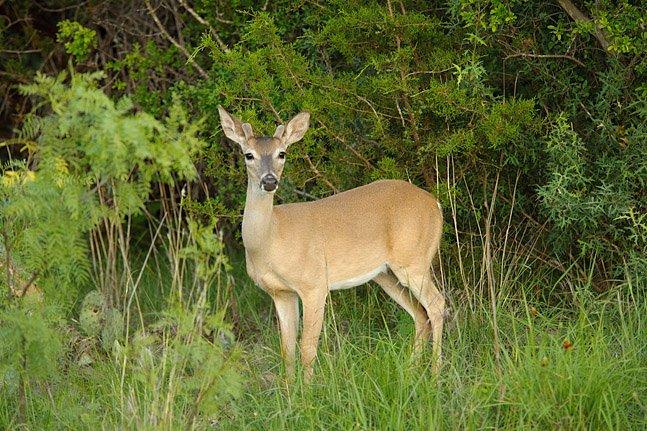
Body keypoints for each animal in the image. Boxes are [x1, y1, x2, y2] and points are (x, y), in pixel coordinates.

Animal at [219, 105, 446, 382]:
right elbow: (287, 351)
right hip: (384, 273)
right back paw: (411, 373)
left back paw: (435, 376)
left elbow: (307, 349)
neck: (271, 240)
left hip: (413, 259)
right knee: (420, 314)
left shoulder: (314, 284)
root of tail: (435, 204)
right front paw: (289, 391)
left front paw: (307, 392)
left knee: (437, 305)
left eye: (282, 153)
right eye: (248, 155)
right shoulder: (281, 293)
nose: (270, 181)